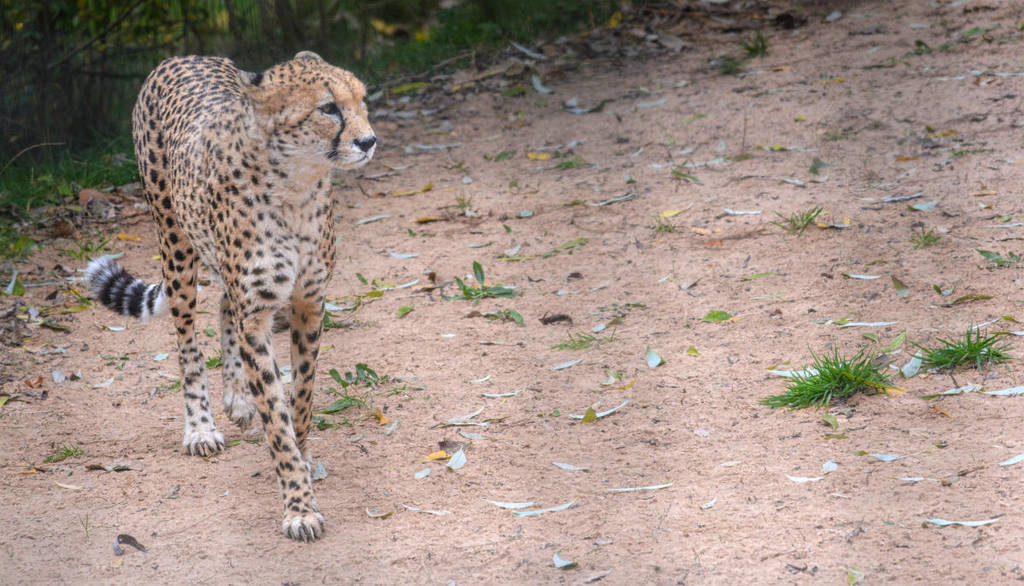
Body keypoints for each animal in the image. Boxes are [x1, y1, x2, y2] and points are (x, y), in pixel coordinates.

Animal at [86, 50, 375, 541]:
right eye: (328, 108)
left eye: (361, 100)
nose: (369, 141)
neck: (295, 187)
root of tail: (184, 57)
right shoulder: (257, 312)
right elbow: (276, 416)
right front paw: (298, 504)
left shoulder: (308, 301)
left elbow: (302, 394)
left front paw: (300, 450)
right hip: (175, 247)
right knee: (187, 340)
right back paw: (200, 427)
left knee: (224, 305)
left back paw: (238, 396)